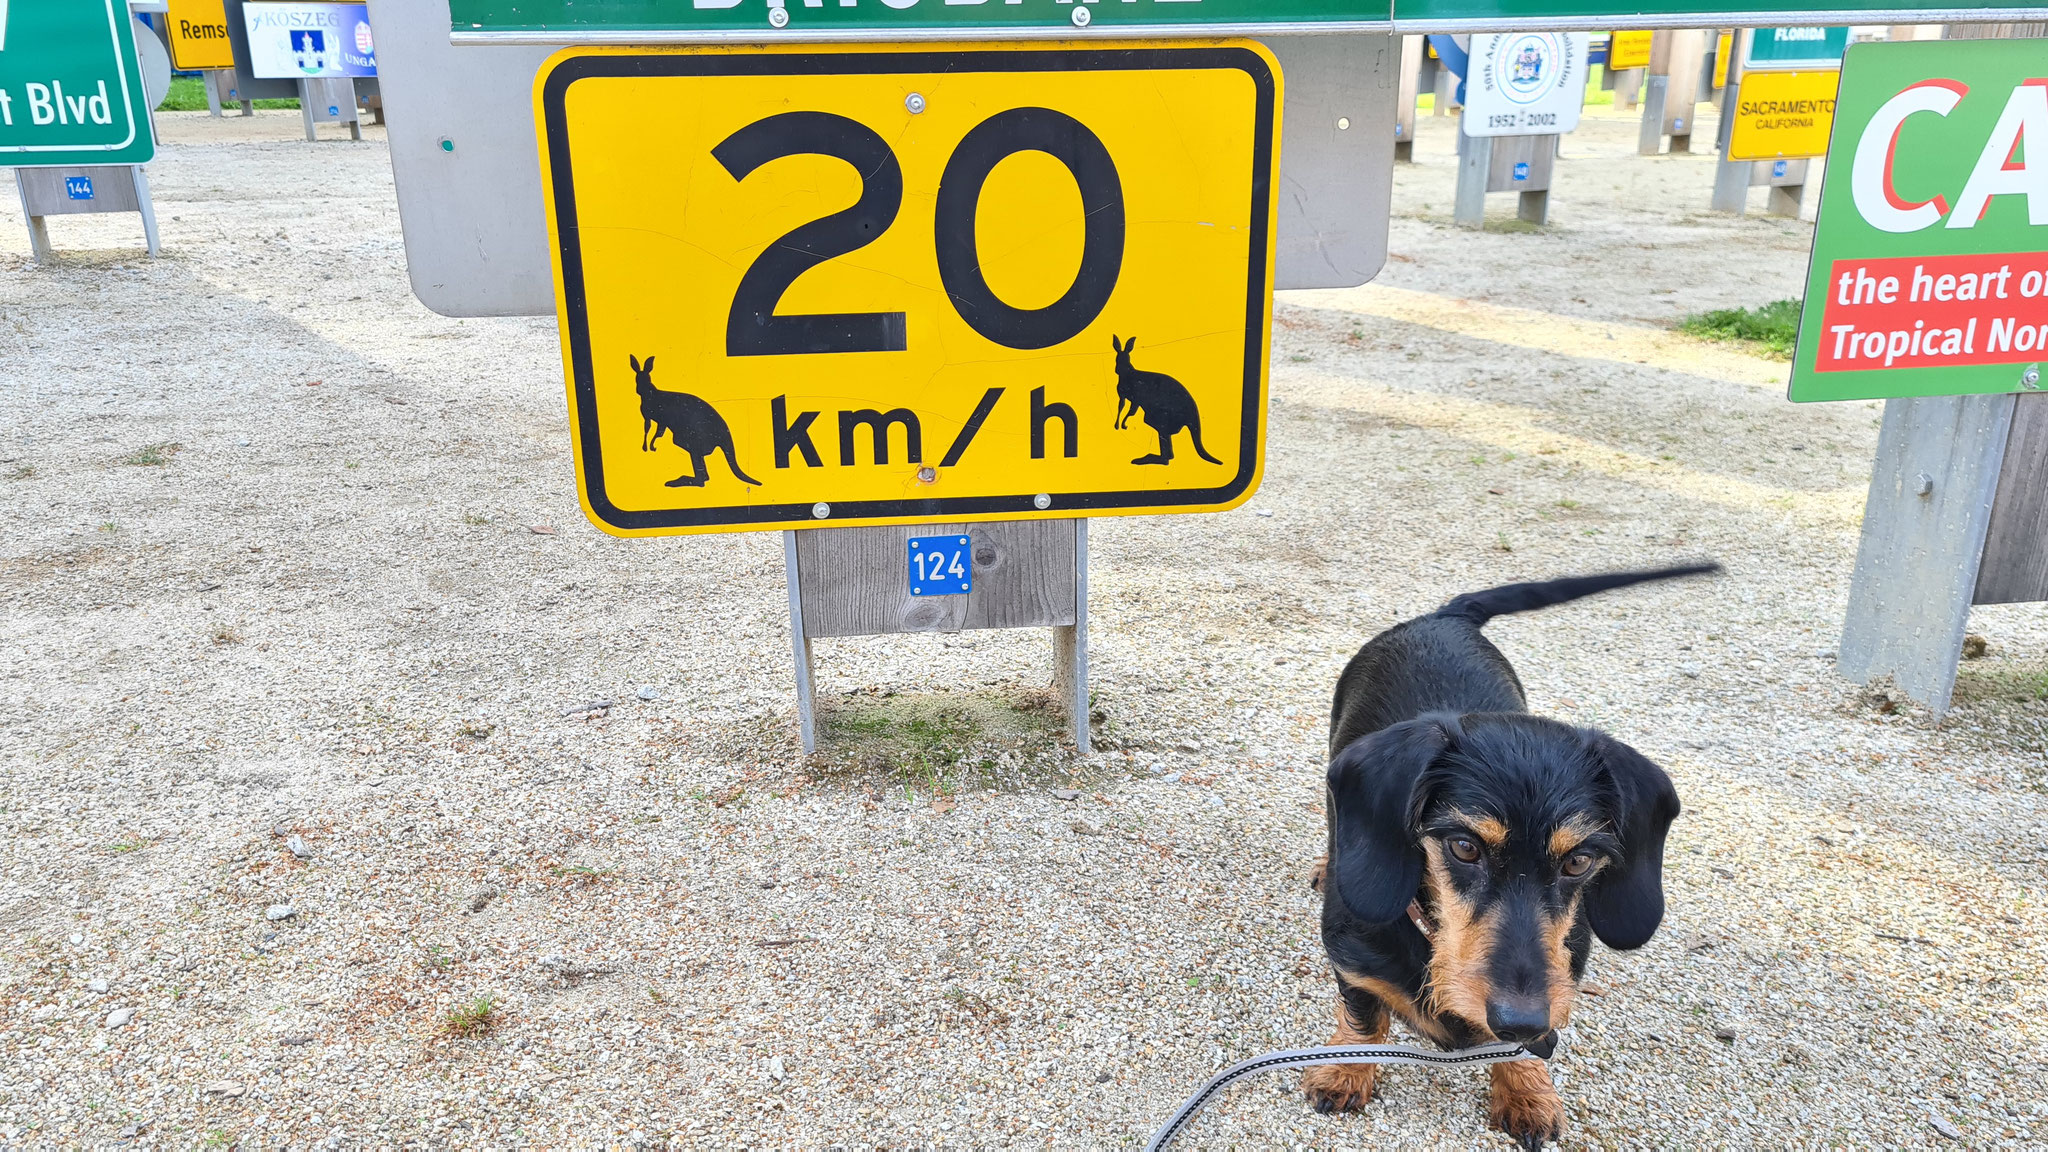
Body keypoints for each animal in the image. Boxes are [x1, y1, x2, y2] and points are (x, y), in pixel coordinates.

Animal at [1310, 561, 1712, 1139]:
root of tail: (1443, 617)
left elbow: (1523, 1050)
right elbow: (1364, 1019)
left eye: (1579, 860)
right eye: (1463, 847)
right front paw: (1344, 1071)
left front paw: (1526, 1092)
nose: (1520, 1017)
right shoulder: (1353, 961)